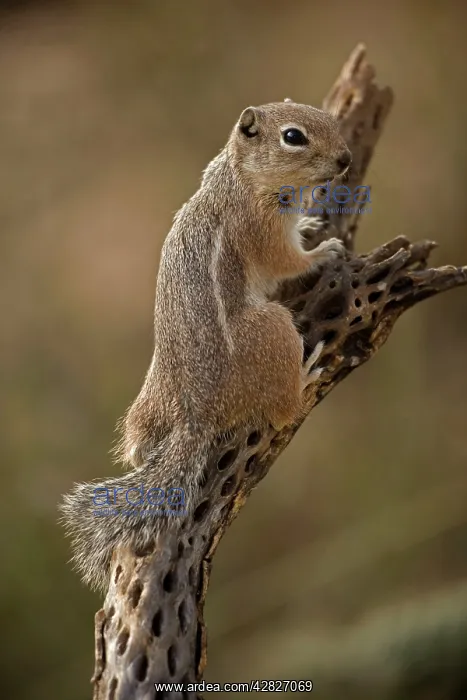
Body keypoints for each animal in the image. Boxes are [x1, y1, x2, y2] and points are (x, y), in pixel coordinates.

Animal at [60, 99, 351, 591]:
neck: (238, 176)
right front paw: (323, 250)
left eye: (323, 114)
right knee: (282, 413)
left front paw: (313, 223)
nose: (346, 159)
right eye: (293, 136)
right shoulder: (260, 227)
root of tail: (199, 414)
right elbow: (287, 261)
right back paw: (306, 374)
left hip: (149, 399)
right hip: (272, 328)